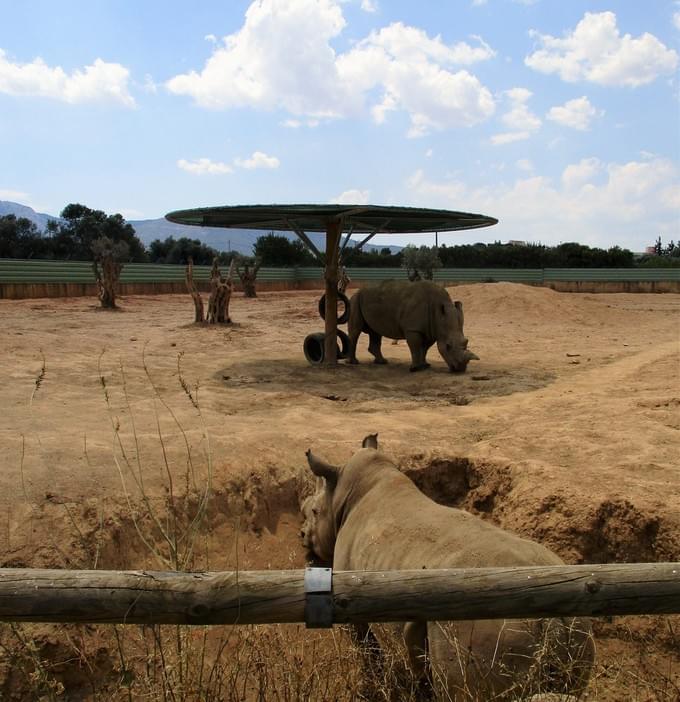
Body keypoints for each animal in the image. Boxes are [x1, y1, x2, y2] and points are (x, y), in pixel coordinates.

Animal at [302, 438, 596, 700]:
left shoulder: (351, 603)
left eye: (314, 512)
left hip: (488, 626)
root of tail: (551, 622)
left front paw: (371, 689)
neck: (345, 494)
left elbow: (368, 654)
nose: (301, 535)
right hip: (577, 624)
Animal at [348, 280, 476, 374]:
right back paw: (354, 362)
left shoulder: (431, 330)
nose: (459, 369)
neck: (438, 315)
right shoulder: (413, 329)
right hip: (355, 299)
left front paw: (425, 366)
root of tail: (359, 290)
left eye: (466, 342)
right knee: (356, 331)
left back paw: (382, 362)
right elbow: (415, 347)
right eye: (448, 346)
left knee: (375, 332)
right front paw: (414, 369)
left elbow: (424, 348)